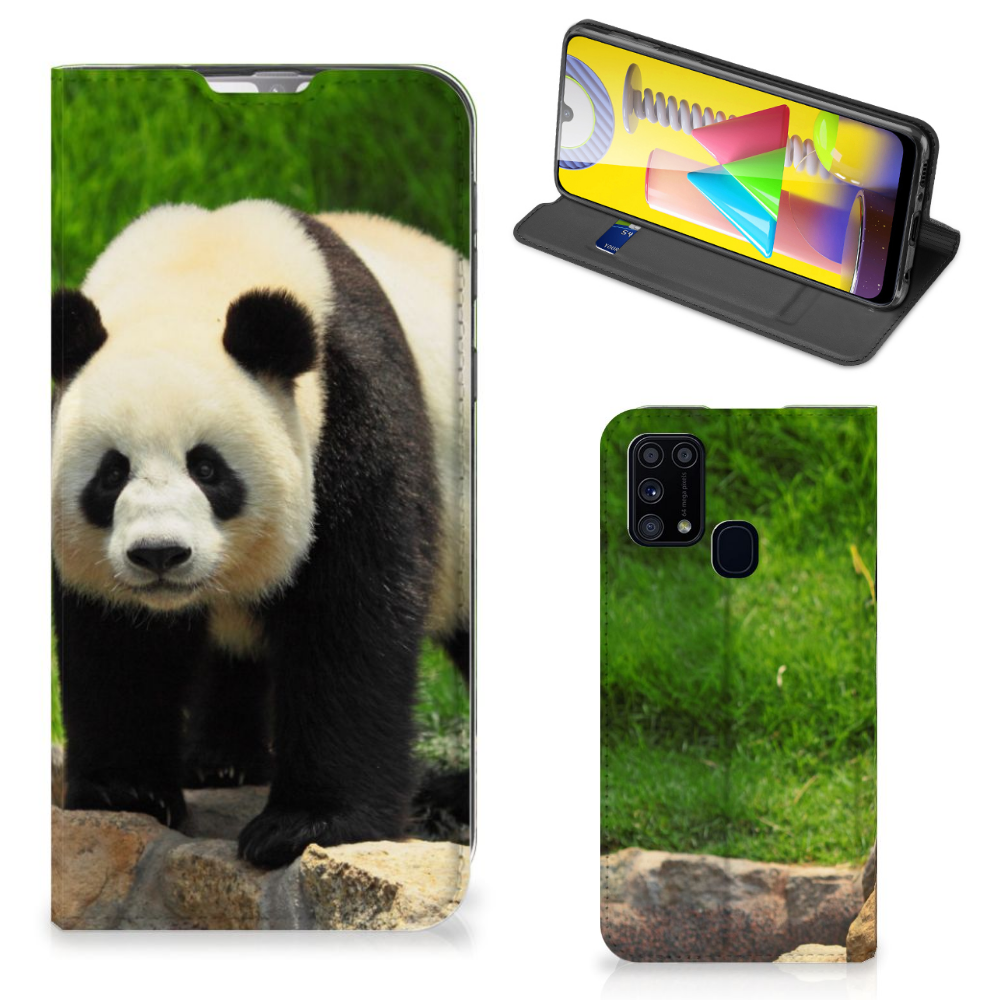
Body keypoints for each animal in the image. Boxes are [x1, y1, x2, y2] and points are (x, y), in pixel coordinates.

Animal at [51, 200, 472, 870]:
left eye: (207, 468)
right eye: (111, 473)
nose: (160, 554)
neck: (193, 271)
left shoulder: (353, 411)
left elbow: (349, 616)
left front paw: (305, 826)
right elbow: (116, 638)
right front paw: (126, 792)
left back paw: (453, 795)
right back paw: (221, 761)